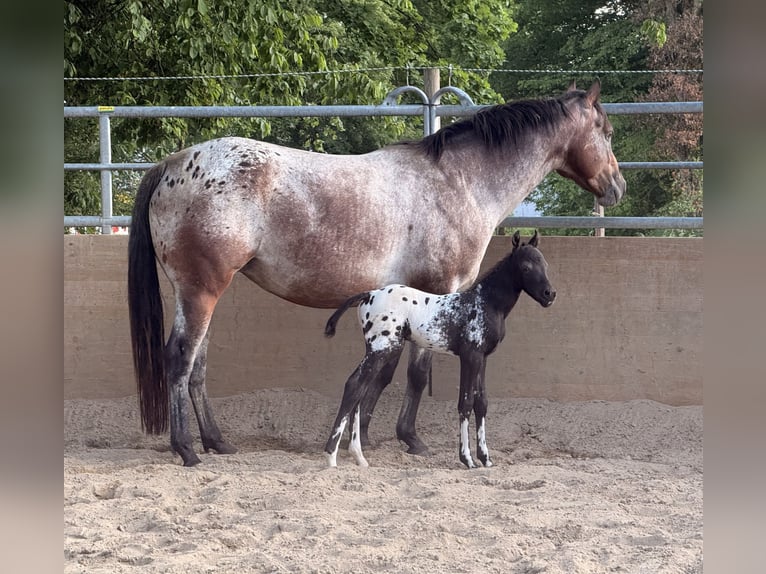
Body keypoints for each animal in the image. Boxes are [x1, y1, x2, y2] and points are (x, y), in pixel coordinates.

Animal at [323, 230, 555, 468]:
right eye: (526, 267)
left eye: (544, 264)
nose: (549, 294)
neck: (485, 303)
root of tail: (368, 295)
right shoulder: (470, 356)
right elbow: (465, 403)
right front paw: (467, 459)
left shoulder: (483, 358)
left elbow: (481, 403)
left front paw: (486, 459)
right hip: (381, 349)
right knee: (354, 386)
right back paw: (331, 457)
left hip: (379, 350)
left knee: (360, 391)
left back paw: (359, 457)